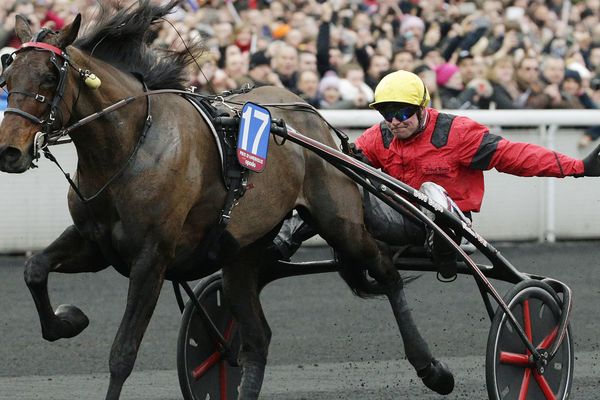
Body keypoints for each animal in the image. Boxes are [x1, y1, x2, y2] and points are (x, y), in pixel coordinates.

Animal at [0, 1, 450, 398]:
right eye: (7, 76)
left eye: (48, 77)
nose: (9, 151)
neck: (131, 146)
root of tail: (312, 116)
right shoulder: (96, 243)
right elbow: (35, 270)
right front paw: (68, 320)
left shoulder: (151, 257)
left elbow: (122, 353)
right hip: (242, 252)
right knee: (257, 337)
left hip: (341, 222)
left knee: (386, 271)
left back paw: (433, 369)